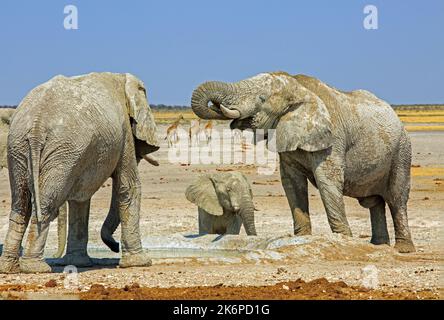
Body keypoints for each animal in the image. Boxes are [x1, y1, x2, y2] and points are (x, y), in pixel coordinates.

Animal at [0, 72, 160, 272]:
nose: (114, 246)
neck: (122, 79)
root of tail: (37, 124)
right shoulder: (124, 134)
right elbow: (129, 187)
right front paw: (141, 262)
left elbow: (79, 198)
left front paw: (78, 262)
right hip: (60, 149)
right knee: (45, 204)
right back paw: (36, 268)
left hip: (20, 146)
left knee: (20, 204)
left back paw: (8, 267)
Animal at [191, 72, 416, 252]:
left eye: (261, 98)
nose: (218, 106)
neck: (299, 89)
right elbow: (292, 183)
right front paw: (302, 239)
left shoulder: (332, 139)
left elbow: (328, 182)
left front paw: (343, 240)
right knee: (375, 203)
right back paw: (379, 246)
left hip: (402, 151)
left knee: (396, 198)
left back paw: (403, 249)